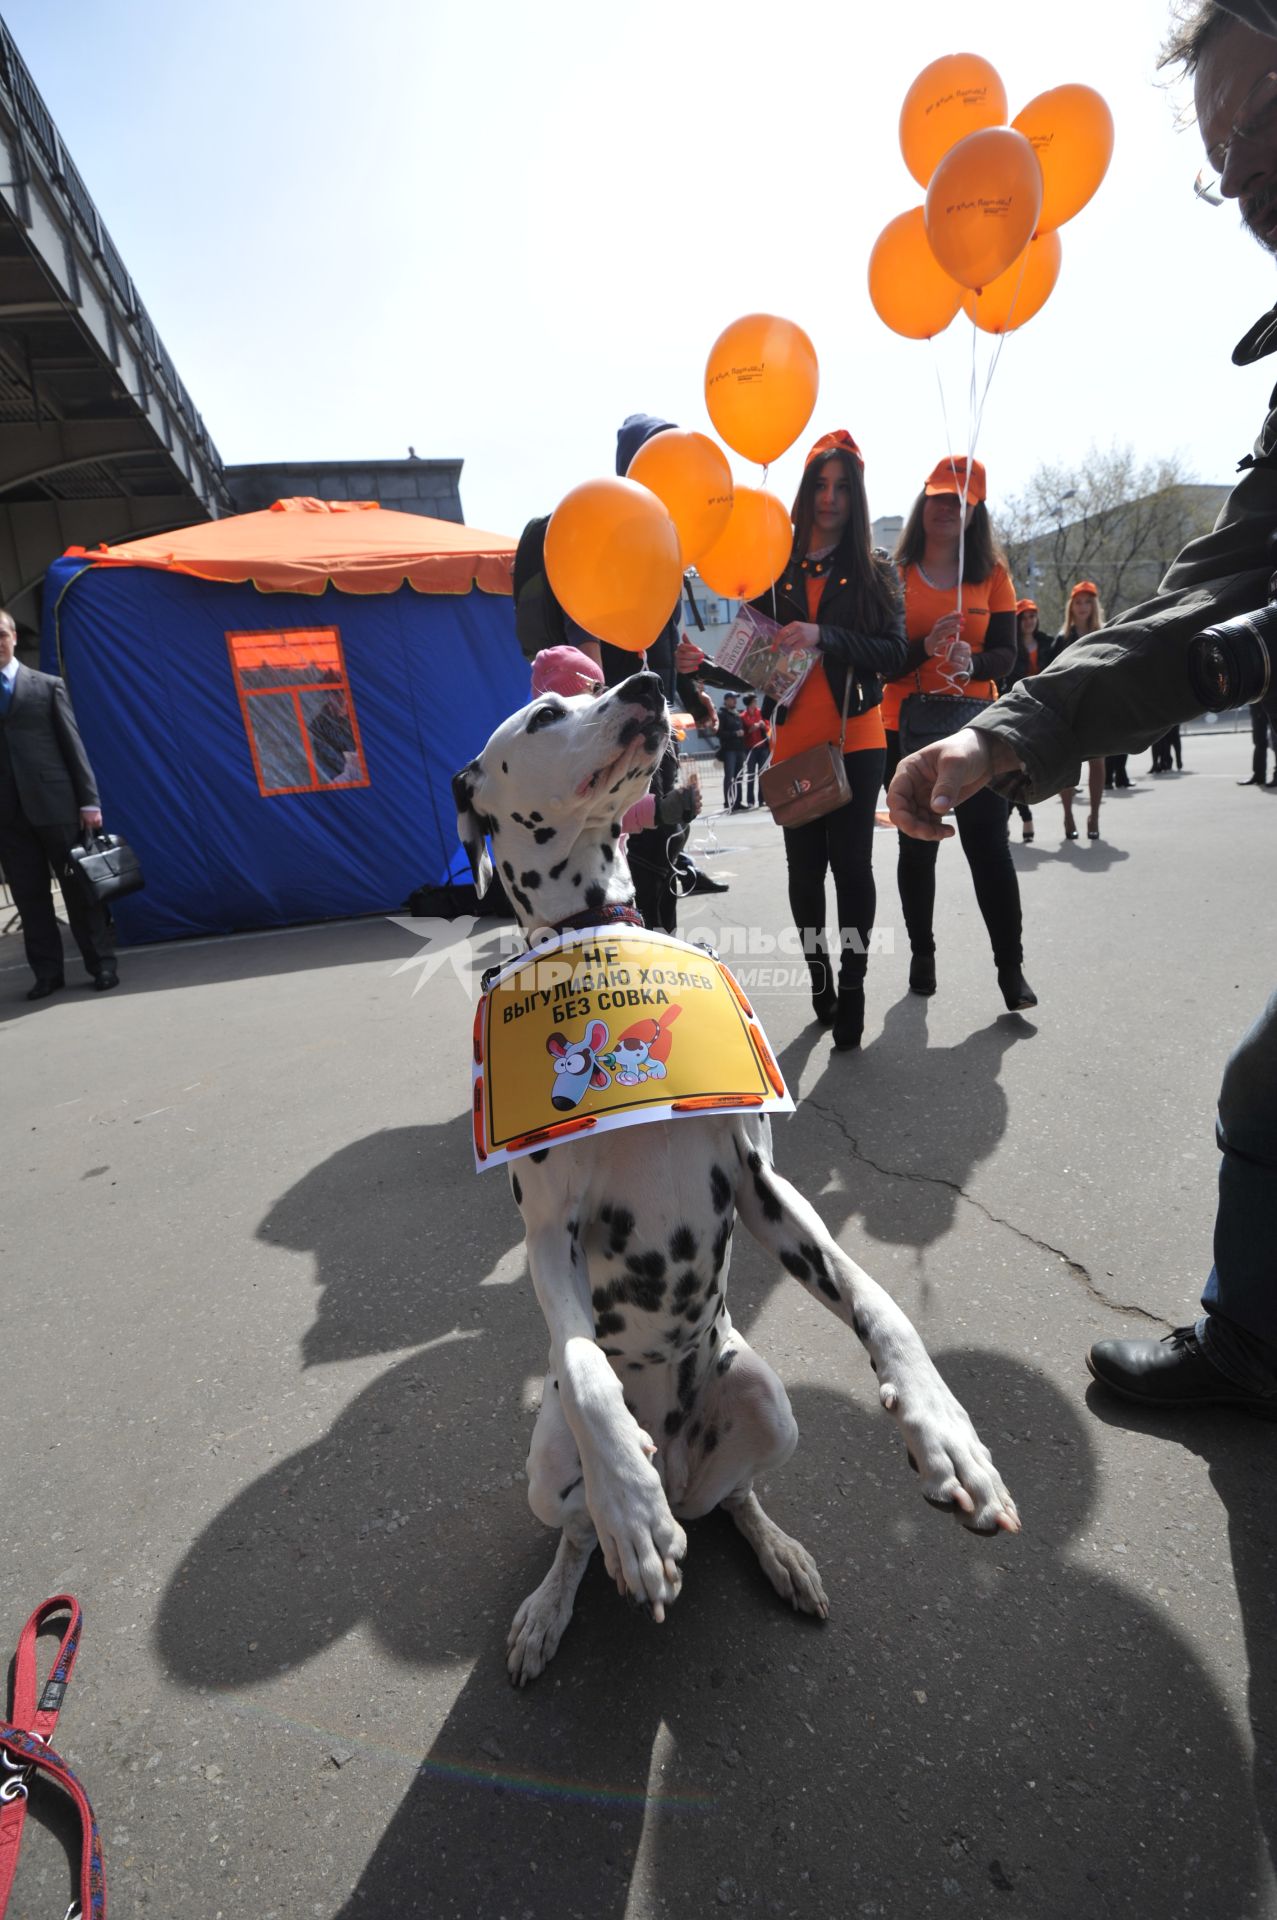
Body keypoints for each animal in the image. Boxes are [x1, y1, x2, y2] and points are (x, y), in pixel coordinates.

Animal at [447, 672, 1013, 1681]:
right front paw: (627, 1501)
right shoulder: (548, 1235)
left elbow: (877, 1300)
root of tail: (683, 1471)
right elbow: (583, 1365)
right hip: (543, 1469)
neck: (598, 941)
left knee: (733, 1499)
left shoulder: (761, 1191)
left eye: (597, 688)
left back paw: (774, 1550)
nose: (645, 682)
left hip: (764, 1404)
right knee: (578, 1530)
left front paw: (942, 1425)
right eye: (546, 713)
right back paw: (581, 1568)